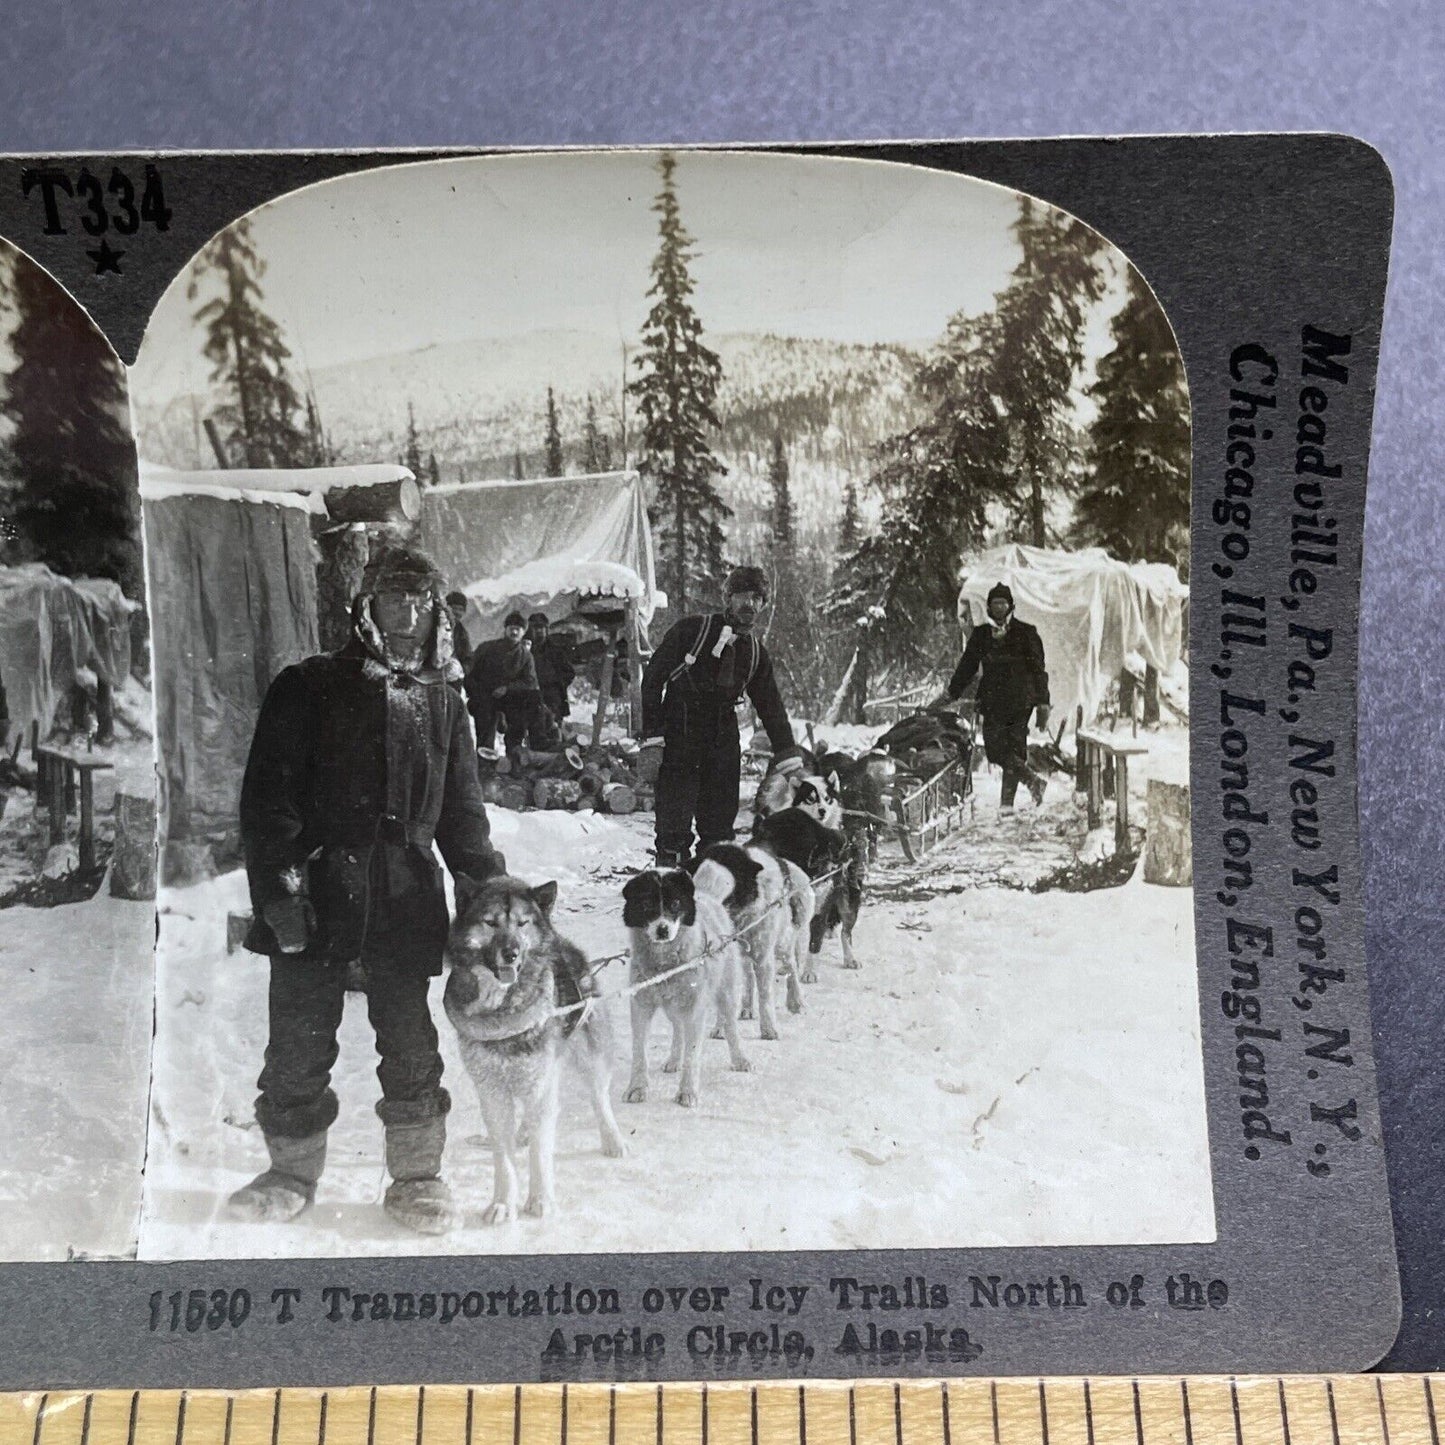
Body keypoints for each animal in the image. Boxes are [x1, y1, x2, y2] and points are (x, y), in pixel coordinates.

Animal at [439, 872, 621, 1225]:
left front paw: (540, 1201)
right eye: (490, 922)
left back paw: (612, 1138)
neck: (502, 1006)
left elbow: (541, 1151)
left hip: (587, 1055)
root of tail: (565, 944)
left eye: (523, 923)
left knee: (599, 1097)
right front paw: (502, 1203)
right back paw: (522, 1134)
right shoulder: (492, 1093)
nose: (511, 953)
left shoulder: (540, 1083)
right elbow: (503, 1158)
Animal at [615, 861, 751, 1109]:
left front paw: (687, 1092)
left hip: (726, 993)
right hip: (674, 1006)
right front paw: (637, 1088)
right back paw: (673, 1060)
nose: (663, 930)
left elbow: (692, 1055)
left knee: (731, 1028)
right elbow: (639, 1053)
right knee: (678, 1028)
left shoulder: (695, 1011)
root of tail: (707, 895)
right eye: (647, 903)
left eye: (676, 903)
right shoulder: (641, 1008)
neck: (664, 965)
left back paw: (740, 1059)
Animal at [693, 843, 820, 1040]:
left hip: (782, 943)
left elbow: (765, 996)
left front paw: (768, 1029)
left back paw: (796, 1001)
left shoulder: (763, 957)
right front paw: (721, 1028)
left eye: (723, 889)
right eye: (697, 885)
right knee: (748, 976)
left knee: (791, 965)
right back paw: (746, 1008)